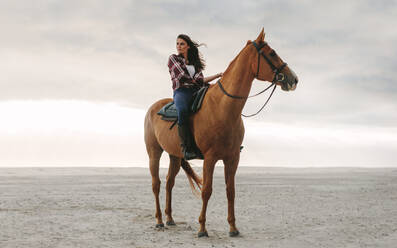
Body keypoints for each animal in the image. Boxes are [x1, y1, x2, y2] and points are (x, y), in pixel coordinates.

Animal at [143, 29, 296, 238]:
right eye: (272, 53)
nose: (294, 79)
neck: (223, 107)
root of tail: (153, 107)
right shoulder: (210, 158)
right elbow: (207, 191)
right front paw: (202, 229)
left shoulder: (232, 158)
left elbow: (230, 191)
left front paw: (233, 228)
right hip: (154, 152)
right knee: (156, 184)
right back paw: (159, 221)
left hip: (175, 155)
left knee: (169, 183)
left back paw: (170, 219)